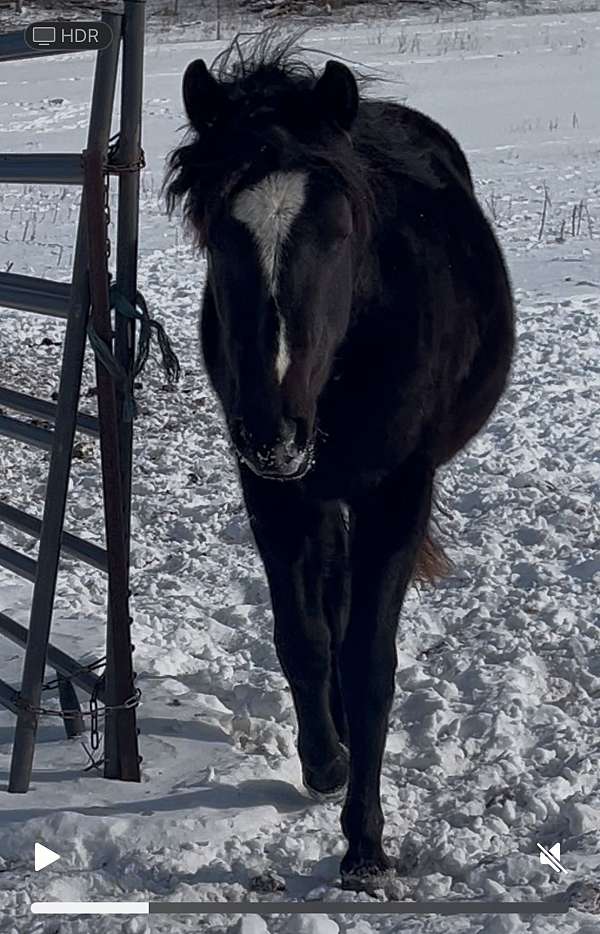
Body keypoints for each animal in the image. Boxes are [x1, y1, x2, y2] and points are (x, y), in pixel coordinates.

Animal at [168, 34, 516, 900]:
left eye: (338, 231)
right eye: (219, 232)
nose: (273, 429)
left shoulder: (398, 491)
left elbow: (369, 661)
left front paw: (364, 845)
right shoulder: (270, 490)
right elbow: (304, 636)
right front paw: (324, 761)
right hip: (315, 492)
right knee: (326, 599)